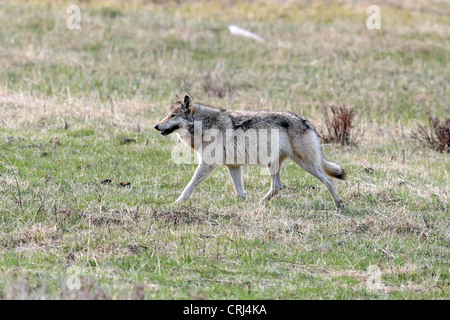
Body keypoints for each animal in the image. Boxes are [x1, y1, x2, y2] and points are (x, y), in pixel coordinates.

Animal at [153, 94, 346, 209]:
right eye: (167, 115)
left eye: (173, 116)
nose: (156, 126)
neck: (205, 124)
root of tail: (306, 121)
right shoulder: (233, 165)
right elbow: (240, 192)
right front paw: (244, 203)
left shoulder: (207, 165)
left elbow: (189, 187)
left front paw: (176, 202)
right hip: (273, 165)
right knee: (277, 186)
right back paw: (261, 202)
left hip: (306, 164)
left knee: (329, 180)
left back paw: (339, 204)